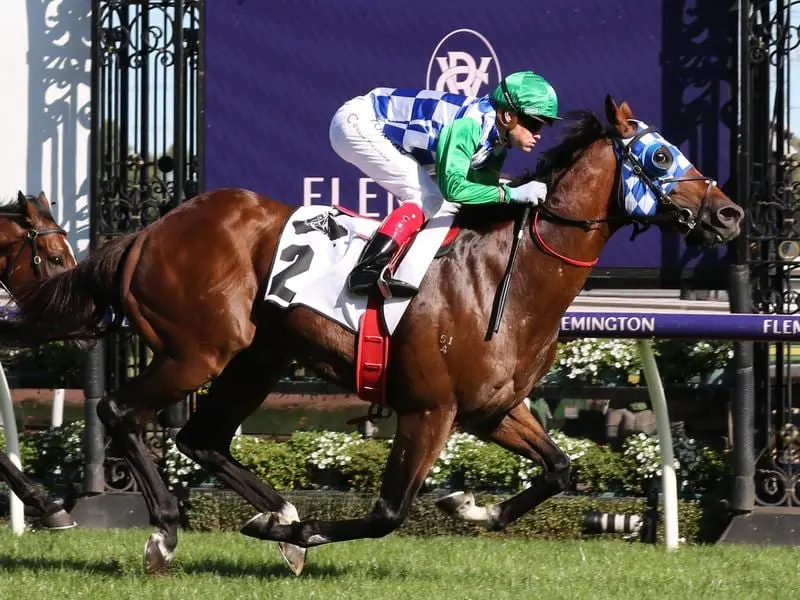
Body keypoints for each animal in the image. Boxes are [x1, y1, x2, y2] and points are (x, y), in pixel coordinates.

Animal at [0, 97, 740, 572]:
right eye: (660, 153)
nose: (730, 214)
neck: (508, 273)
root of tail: (150, 230)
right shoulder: (429, 409)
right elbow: (388, 511)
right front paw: (316, 532)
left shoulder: (494, 408)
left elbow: (561, 470)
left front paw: (472, 507)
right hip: (198, 349)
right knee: (118, 409)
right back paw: (164, 533)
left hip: (258, 357)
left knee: (201, 437)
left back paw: (277, 515)